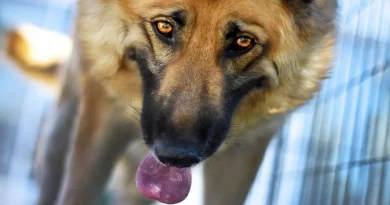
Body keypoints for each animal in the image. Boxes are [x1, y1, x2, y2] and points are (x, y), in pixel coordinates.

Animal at [4, 0, 336, 205]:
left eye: (243, 42)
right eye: (164, 27)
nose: (177, 156)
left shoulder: (243, 154)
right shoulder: (101, 123)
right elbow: (78, 192)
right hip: (59, 137)